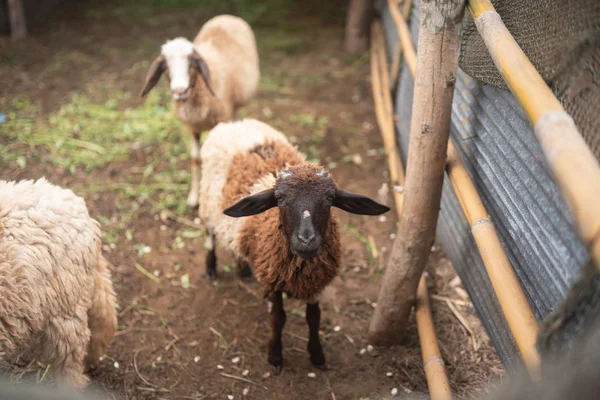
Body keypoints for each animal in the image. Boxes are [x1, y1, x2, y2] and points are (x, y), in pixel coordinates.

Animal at [143, 14, 262, 209]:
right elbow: (195, 159)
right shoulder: (192, 128)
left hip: (234, 105)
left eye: (192, 62)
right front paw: (193, 197)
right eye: (166, 65)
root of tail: (227, 16)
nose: (180, 91)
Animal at [199, 119, 392, 376]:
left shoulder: (315, 283)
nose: (306, 240)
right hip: (208, 201)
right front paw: (275, 356)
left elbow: (314, 317)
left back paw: (243, 268)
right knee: (210, 233)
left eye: (330, 198)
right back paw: (211, 268)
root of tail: (235, 123)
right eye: (279, 199)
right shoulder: (273, 280)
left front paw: (317, 355)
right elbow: (277, 318)